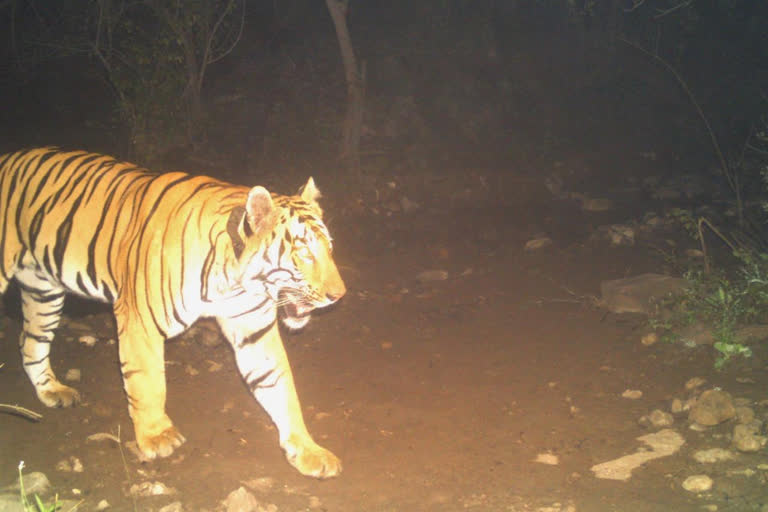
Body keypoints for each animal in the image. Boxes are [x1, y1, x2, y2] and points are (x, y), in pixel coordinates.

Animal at [0, 148, 344, 480]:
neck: (234, 281)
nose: (339, 295)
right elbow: (148, 380)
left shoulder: (254, 330)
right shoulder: (139, 321)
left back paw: (52, 391)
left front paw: (309, 450)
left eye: (329, 248)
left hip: (44, 292)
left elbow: (281, 388)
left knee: (29, 342)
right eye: (304, 252)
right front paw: (156, 436)